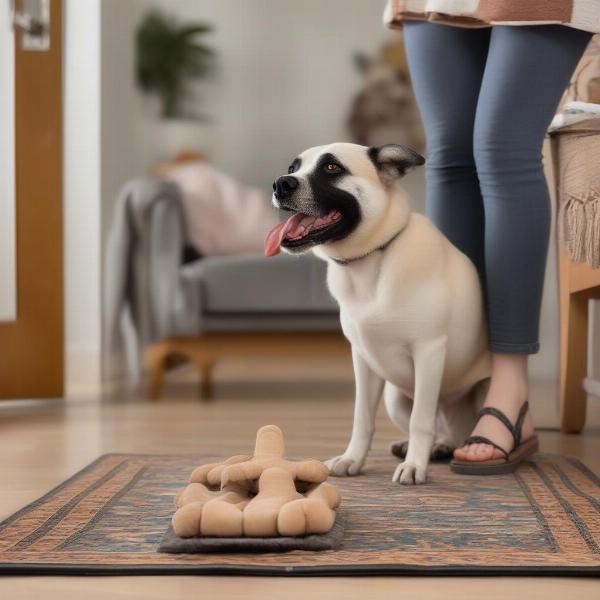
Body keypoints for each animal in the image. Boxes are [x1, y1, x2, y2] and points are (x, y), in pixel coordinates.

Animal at [264, 143, 490, 486]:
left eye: (332, 168)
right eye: (293, 167)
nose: (280, 184)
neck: (371, 261)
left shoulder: (429, 351)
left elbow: (420, 420)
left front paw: (414, 466)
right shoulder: (363, 360)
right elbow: (363, 419)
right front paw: (352, 459)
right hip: (395, 399)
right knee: (440, 430)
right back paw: (434, 446)